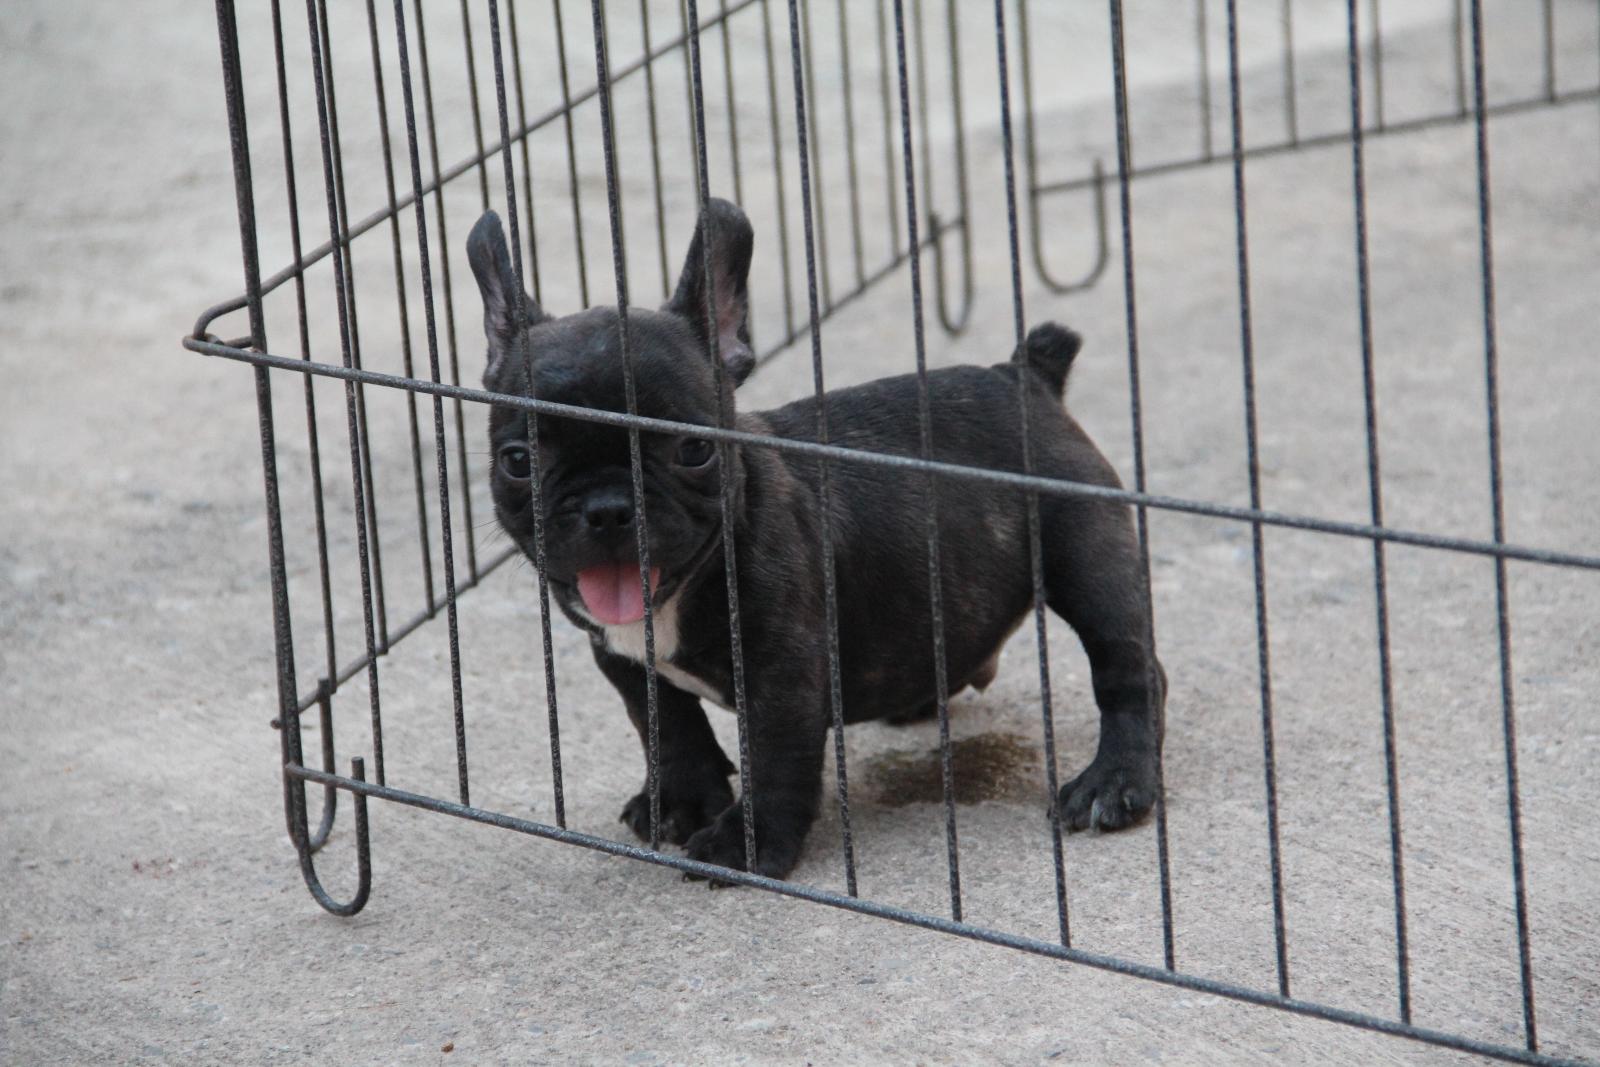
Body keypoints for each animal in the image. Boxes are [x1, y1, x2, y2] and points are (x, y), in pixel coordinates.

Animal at [468, 198, 1165, 880]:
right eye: (518, 461)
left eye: (693, 450)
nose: (609, 508)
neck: (682, 592)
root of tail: (1026, 376)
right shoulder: (624, 659)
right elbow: (667, 727)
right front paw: (681, 802)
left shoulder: (784, 675)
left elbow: (775, 760)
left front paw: (746, 847)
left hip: (1087, 557)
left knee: (1128, 670)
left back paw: (1114, 783)